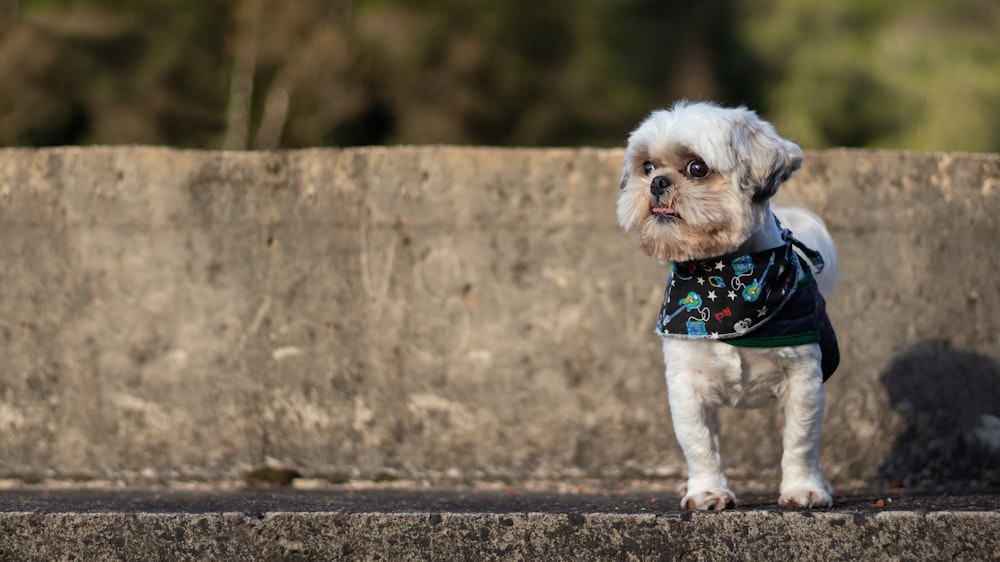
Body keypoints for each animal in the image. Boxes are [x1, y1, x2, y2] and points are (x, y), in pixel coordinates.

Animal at [612, 99, 840, 508]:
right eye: (647, 167)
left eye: (697, 168)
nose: (657, 182)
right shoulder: (686, 385)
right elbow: (700, 445)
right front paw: (706, 492)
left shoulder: (804, 380)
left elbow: (800, 443)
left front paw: (804, 489)